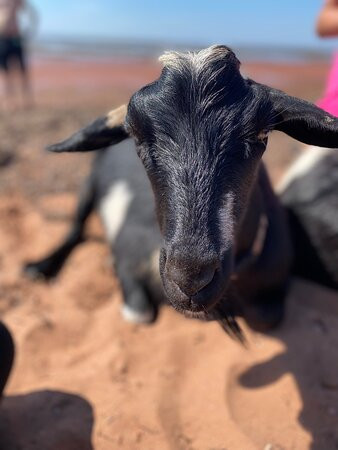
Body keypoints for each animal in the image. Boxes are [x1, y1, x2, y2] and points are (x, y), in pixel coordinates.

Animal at [25, 45, 338, 336]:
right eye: (136, 136)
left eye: (262, 135)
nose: (190, 281)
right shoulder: (130, 249)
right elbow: (138, 312)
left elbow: (265, 317)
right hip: (88, 185)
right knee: (76, 228)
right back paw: (39, 267)